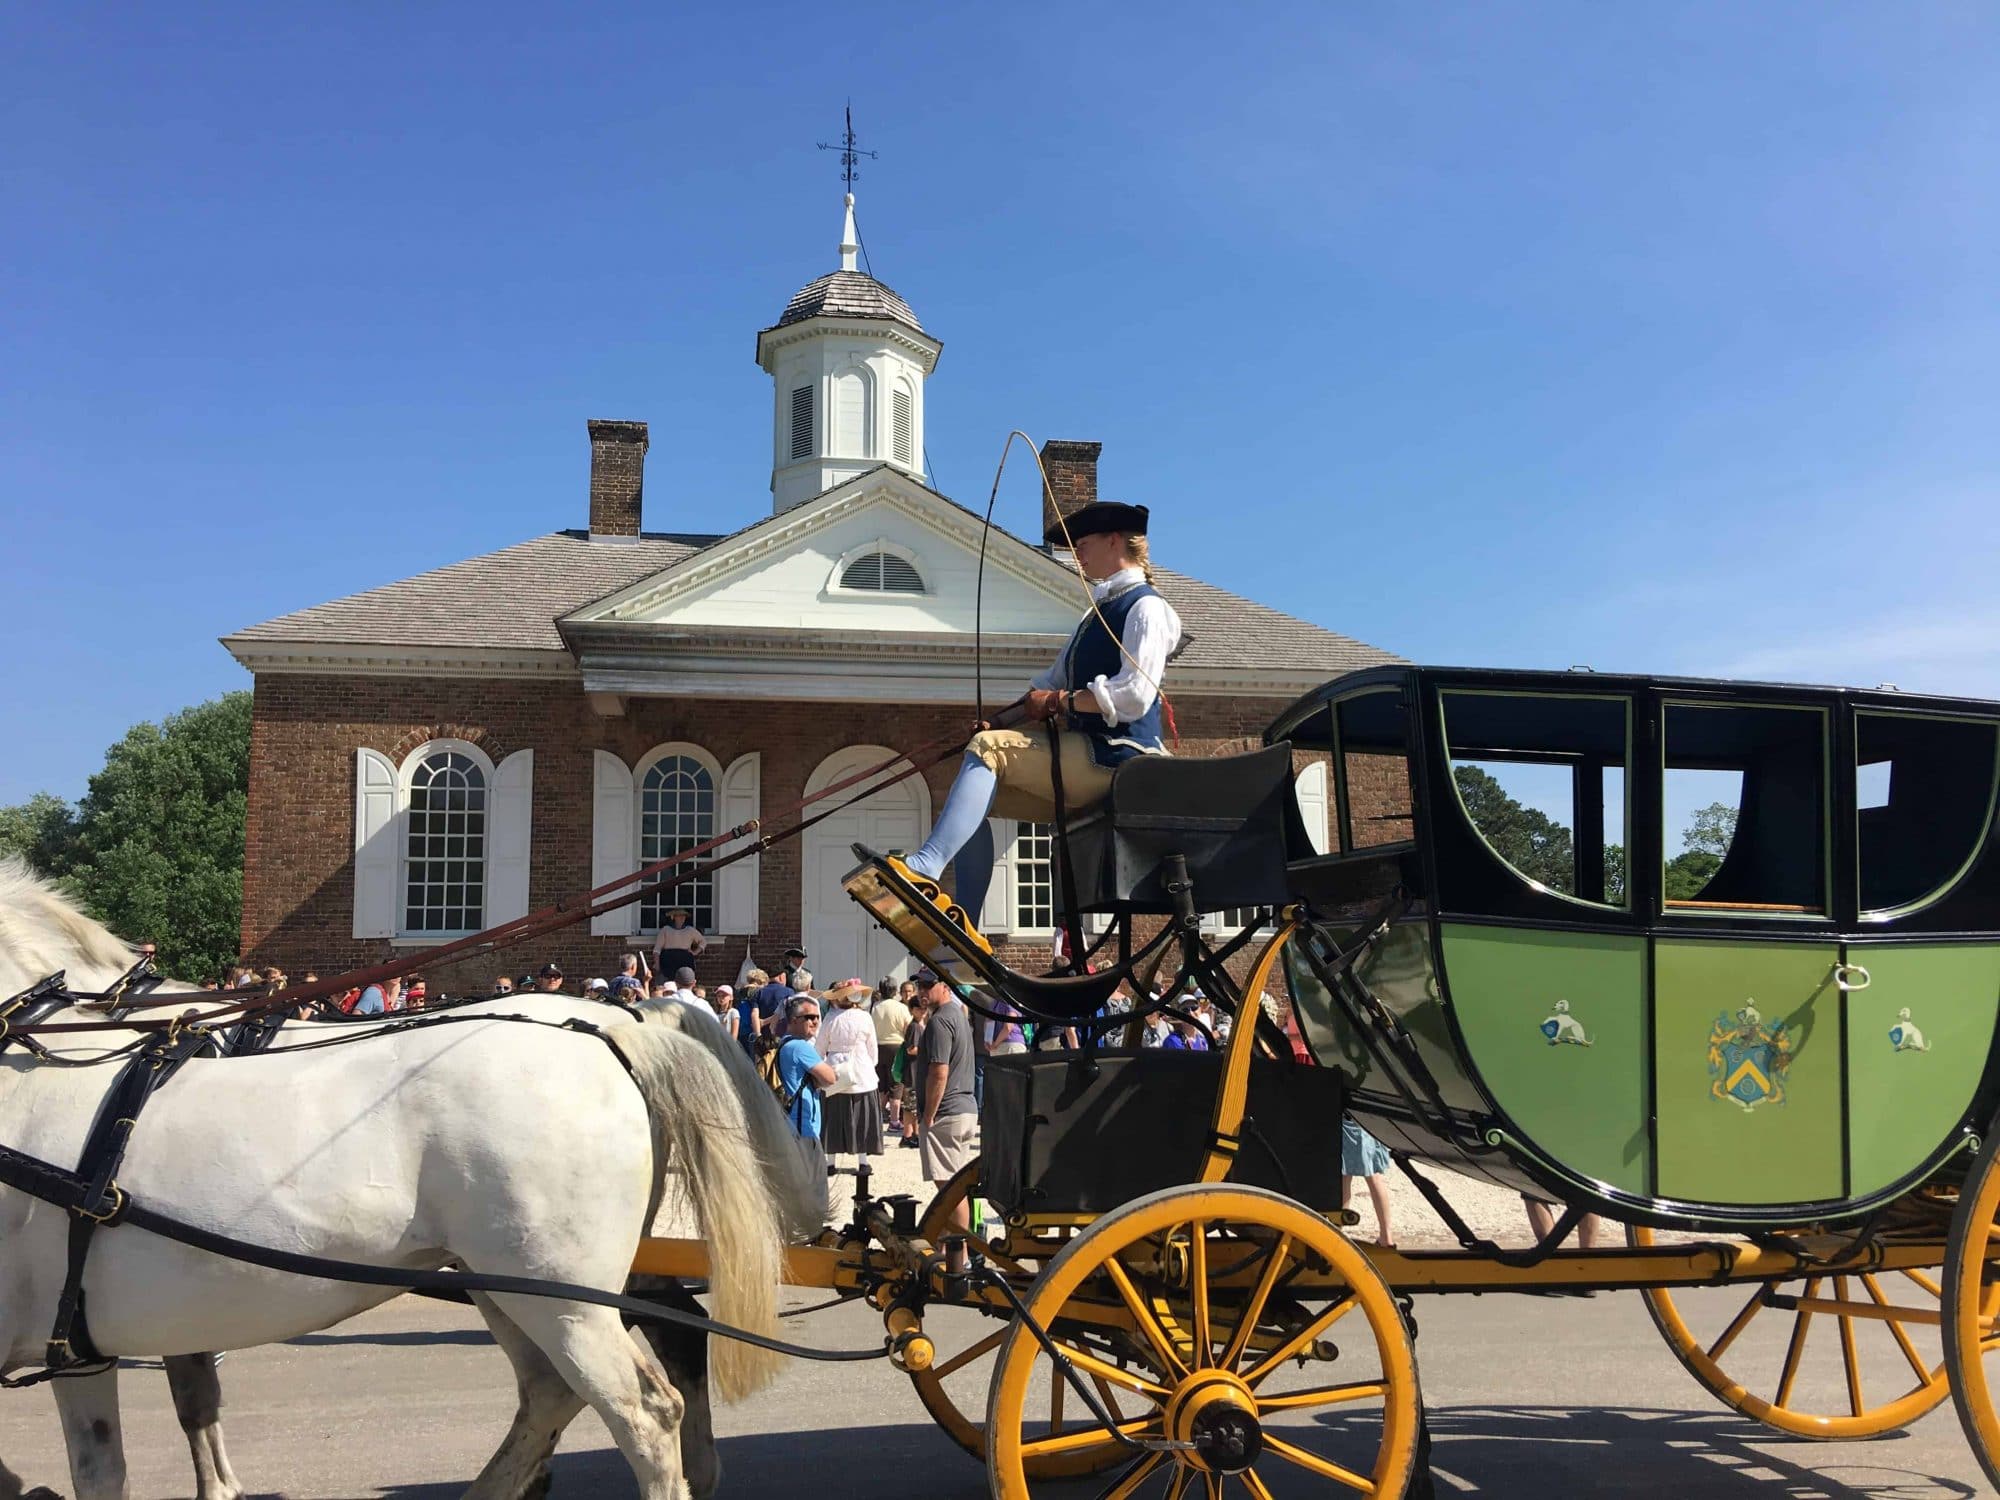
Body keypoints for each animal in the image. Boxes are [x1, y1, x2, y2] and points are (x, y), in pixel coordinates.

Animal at [0, 868, 820, 1500]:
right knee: (571, 1384)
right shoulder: (82, 1342)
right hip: (512, 1283)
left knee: (644, 1408)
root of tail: (612, 1027)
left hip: (560, 1295)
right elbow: (124, 1451)